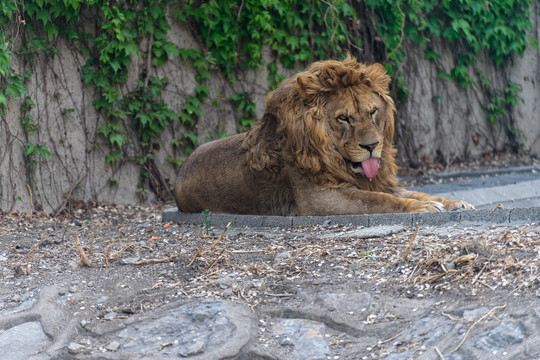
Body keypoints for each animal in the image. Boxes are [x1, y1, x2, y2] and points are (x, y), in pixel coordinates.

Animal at [173, 56, 472, 214]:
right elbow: (378, 200)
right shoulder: (321, 199)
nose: (373, 145)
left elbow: (419, 192)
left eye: (373, 112)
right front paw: (423, 208)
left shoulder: (382, 183)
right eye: (344, 118)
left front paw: (454, 201)